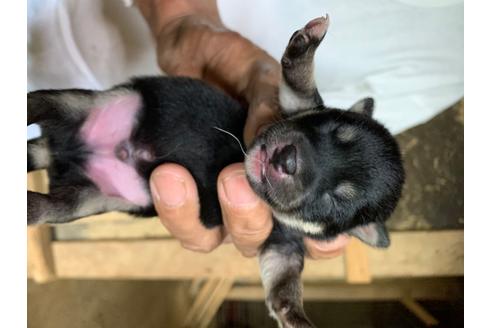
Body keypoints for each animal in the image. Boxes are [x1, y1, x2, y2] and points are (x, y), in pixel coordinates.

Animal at [26, 16, 404, 328]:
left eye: (333, 200)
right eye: (328, 126)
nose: (287, 159)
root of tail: (62, 151)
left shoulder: (282, 245)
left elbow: (282, 284)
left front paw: (295, 317)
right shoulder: (287, 108)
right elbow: (298, 86)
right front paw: (306, 44)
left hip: (90, 198)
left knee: (53, 205)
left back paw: (32, 205)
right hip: (86, 103)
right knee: (39, 101)